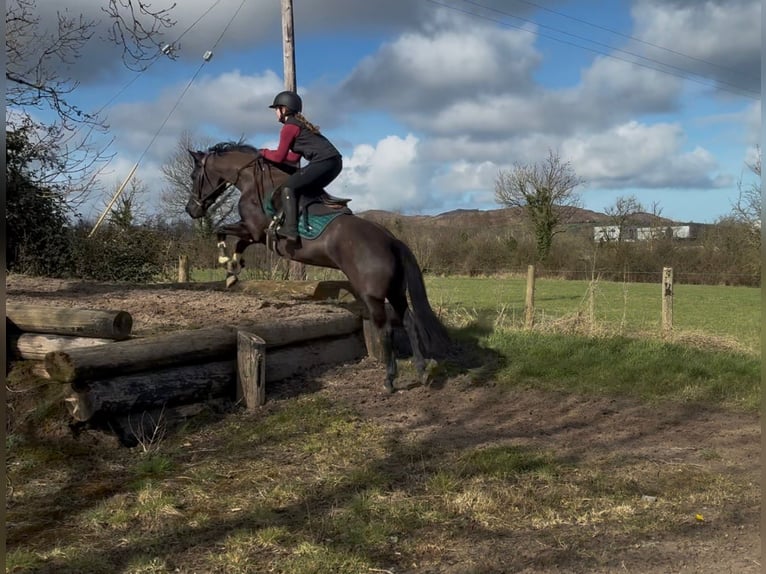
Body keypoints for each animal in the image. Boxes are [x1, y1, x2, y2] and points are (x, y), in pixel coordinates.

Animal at [185, 141, 451, 393]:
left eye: (193, 175)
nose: (191, 210)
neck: (253, 181)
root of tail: (392, 241)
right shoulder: (255, 234)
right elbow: (237, 242)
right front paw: (233, 270)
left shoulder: (253, 229)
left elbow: (222, 231)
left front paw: (226, 263)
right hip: (396, 291)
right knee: (409, 322)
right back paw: (421, 371)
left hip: (373, 295)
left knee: (386, 330)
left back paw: (389, 380)